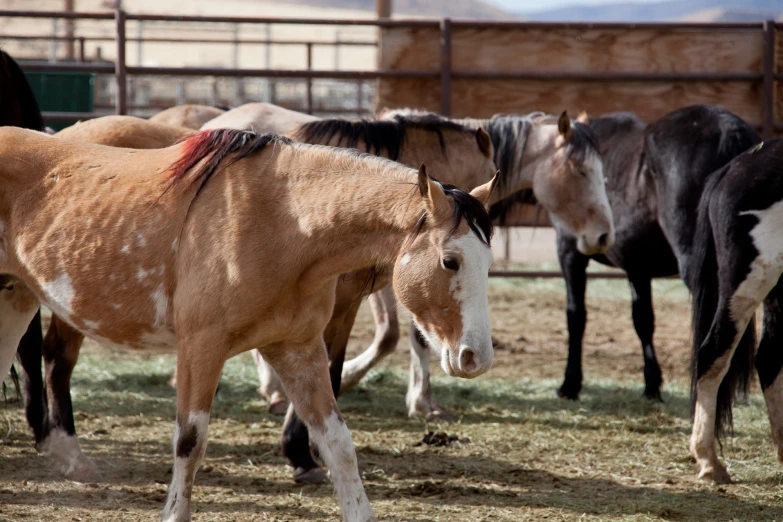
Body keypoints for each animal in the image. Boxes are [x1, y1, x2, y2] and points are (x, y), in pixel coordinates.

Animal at [556, 104, 764, 398]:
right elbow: (643, 320)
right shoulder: (637, 267)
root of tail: (728, 130)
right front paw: (652, 384)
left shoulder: (570, 253)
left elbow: (576, 317)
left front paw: (570, 383)